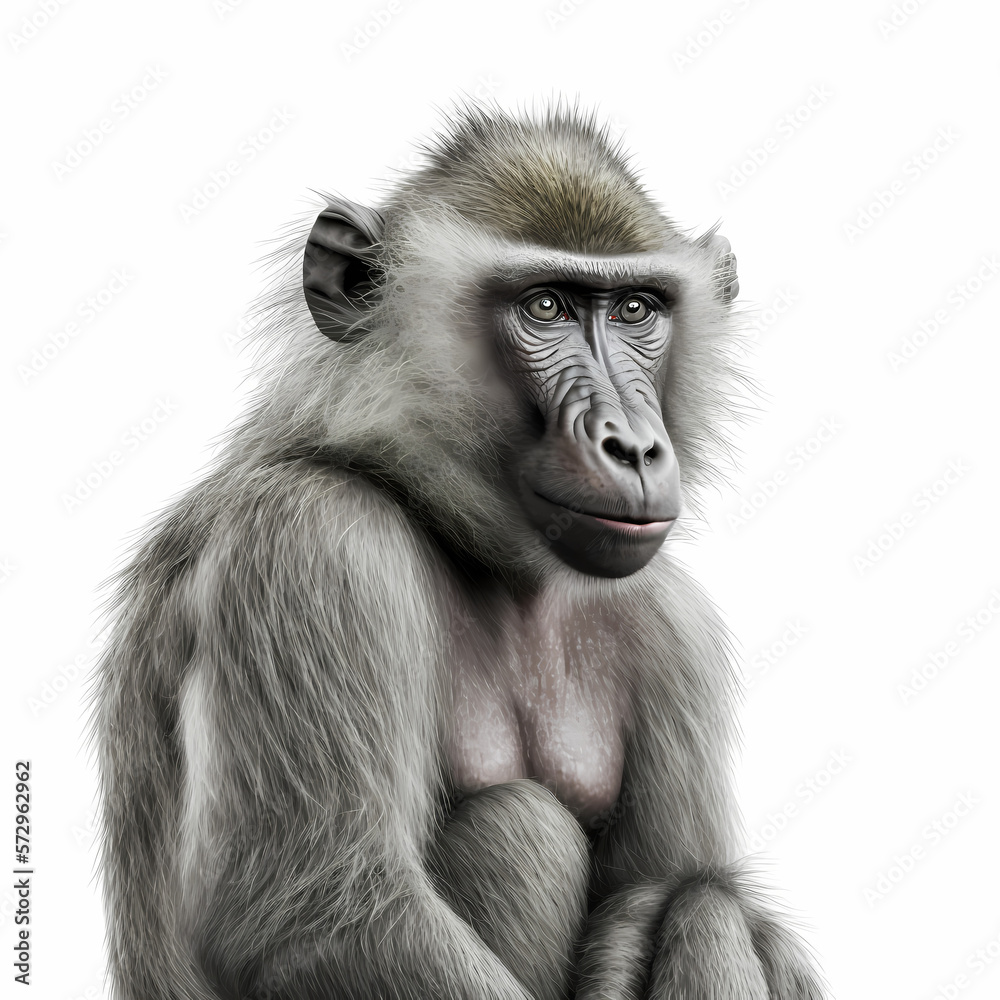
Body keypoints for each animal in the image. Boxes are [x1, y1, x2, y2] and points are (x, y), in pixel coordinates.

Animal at [91, 103, 826, 1000]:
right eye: (545, 306)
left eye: (634, 310)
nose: (633, 445)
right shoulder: (309, 544)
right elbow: (312, 916)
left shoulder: (673, 624)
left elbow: (673, 885)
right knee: (521, 827)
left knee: (701, 900)